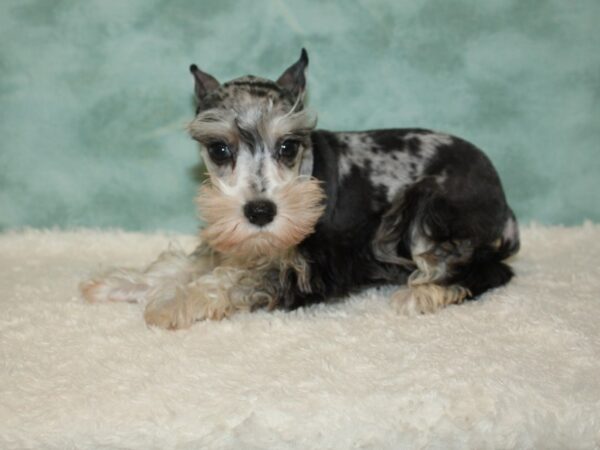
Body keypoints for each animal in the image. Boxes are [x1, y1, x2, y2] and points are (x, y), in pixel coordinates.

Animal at [81, 50, 520, 330]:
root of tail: (503, 202)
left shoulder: (308, 267)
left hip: (429, 210)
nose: (260, 212)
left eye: (288, 147)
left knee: (485, 270)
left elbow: (236, 280)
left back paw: (422, 295)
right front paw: (121, 283)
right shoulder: (237, 243)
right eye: (219, 149)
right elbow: (191, 263)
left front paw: (175, 300)